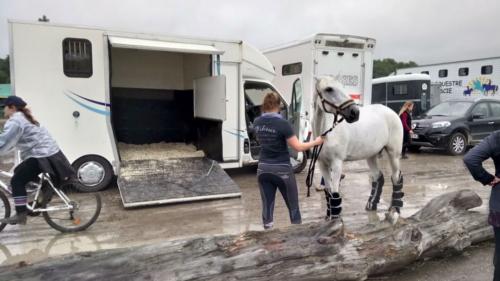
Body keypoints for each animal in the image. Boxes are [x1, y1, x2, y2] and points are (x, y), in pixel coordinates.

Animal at [314, 75, 404, 224]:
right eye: (329, 89)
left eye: (342, 87)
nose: (354, 113)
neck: (326, 133)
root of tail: (392, 112)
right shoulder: (322, 164)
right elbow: (328, 191)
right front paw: (329, 218)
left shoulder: (337, 163)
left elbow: (335, 192)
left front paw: (336, 220)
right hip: (371, 155)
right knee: (378, 177)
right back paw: (371, 205)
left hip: (394, 154)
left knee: (396, 178)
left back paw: (395, 210)